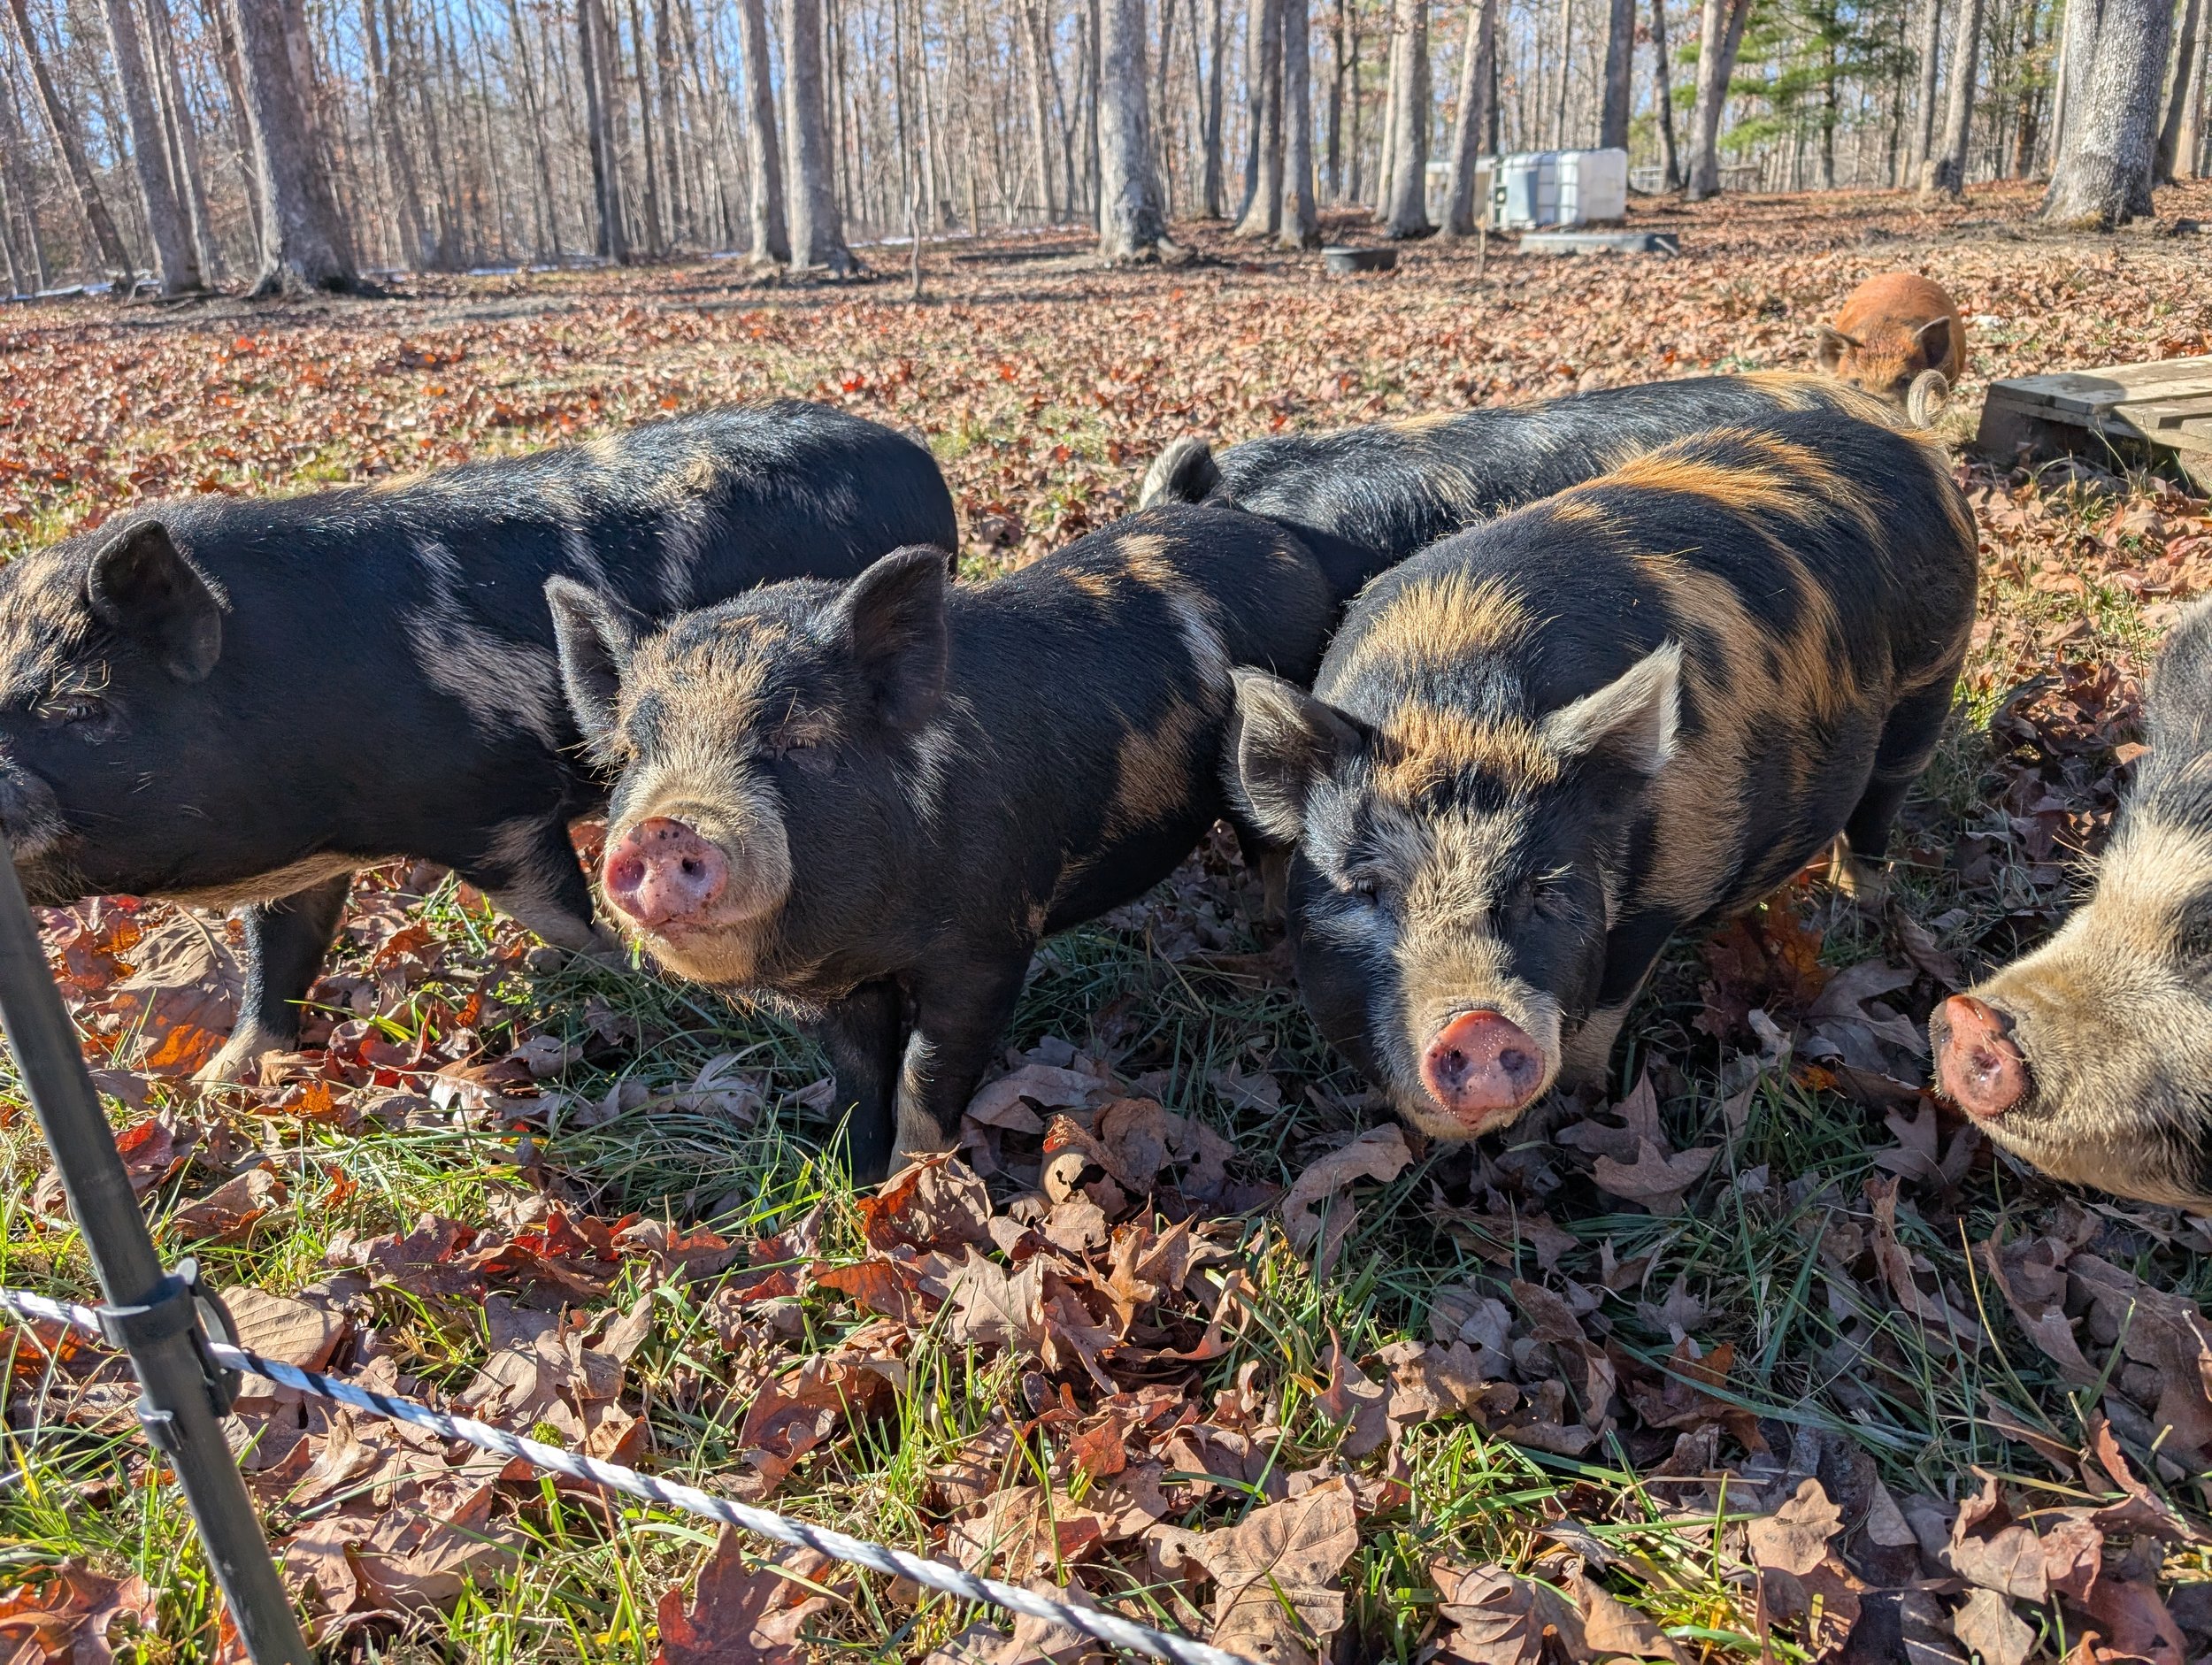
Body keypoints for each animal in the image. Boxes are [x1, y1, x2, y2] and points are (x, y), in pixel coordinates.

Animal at [0, 402, 957, 1080]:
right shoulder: (307, 860)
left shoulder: (500, 805)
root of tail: (913, 454)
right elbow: (279, 956)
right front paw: (219, 1083)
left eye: (84, 708)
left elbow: (560, 911)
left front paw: (618, 977)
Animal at [547, 504, 1353, 1182]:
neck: (871, 938)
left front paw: (915, 1188)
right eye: (633, 753)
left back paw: (1267, 941)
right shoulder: (849, 987)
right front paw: (855, 1182)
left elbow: (925, 1075)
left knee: (1271, 849)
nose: (663, 827)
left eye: (800, 741)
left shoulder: (988, 945)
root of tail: (1281, 539)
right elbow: (858, 1076)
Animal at [1227, 408, 1978, 1142]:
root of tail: (1912, 437)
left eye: (1543, 887)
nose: (1479, 1023)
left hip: (1931, 684)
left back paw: (1855, 900)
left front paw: (1581, 1105)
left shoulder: (1666, 893)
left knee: (1881, 803)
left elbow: (1608, 1006)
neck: (1454, 702)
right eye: (1366, 890)